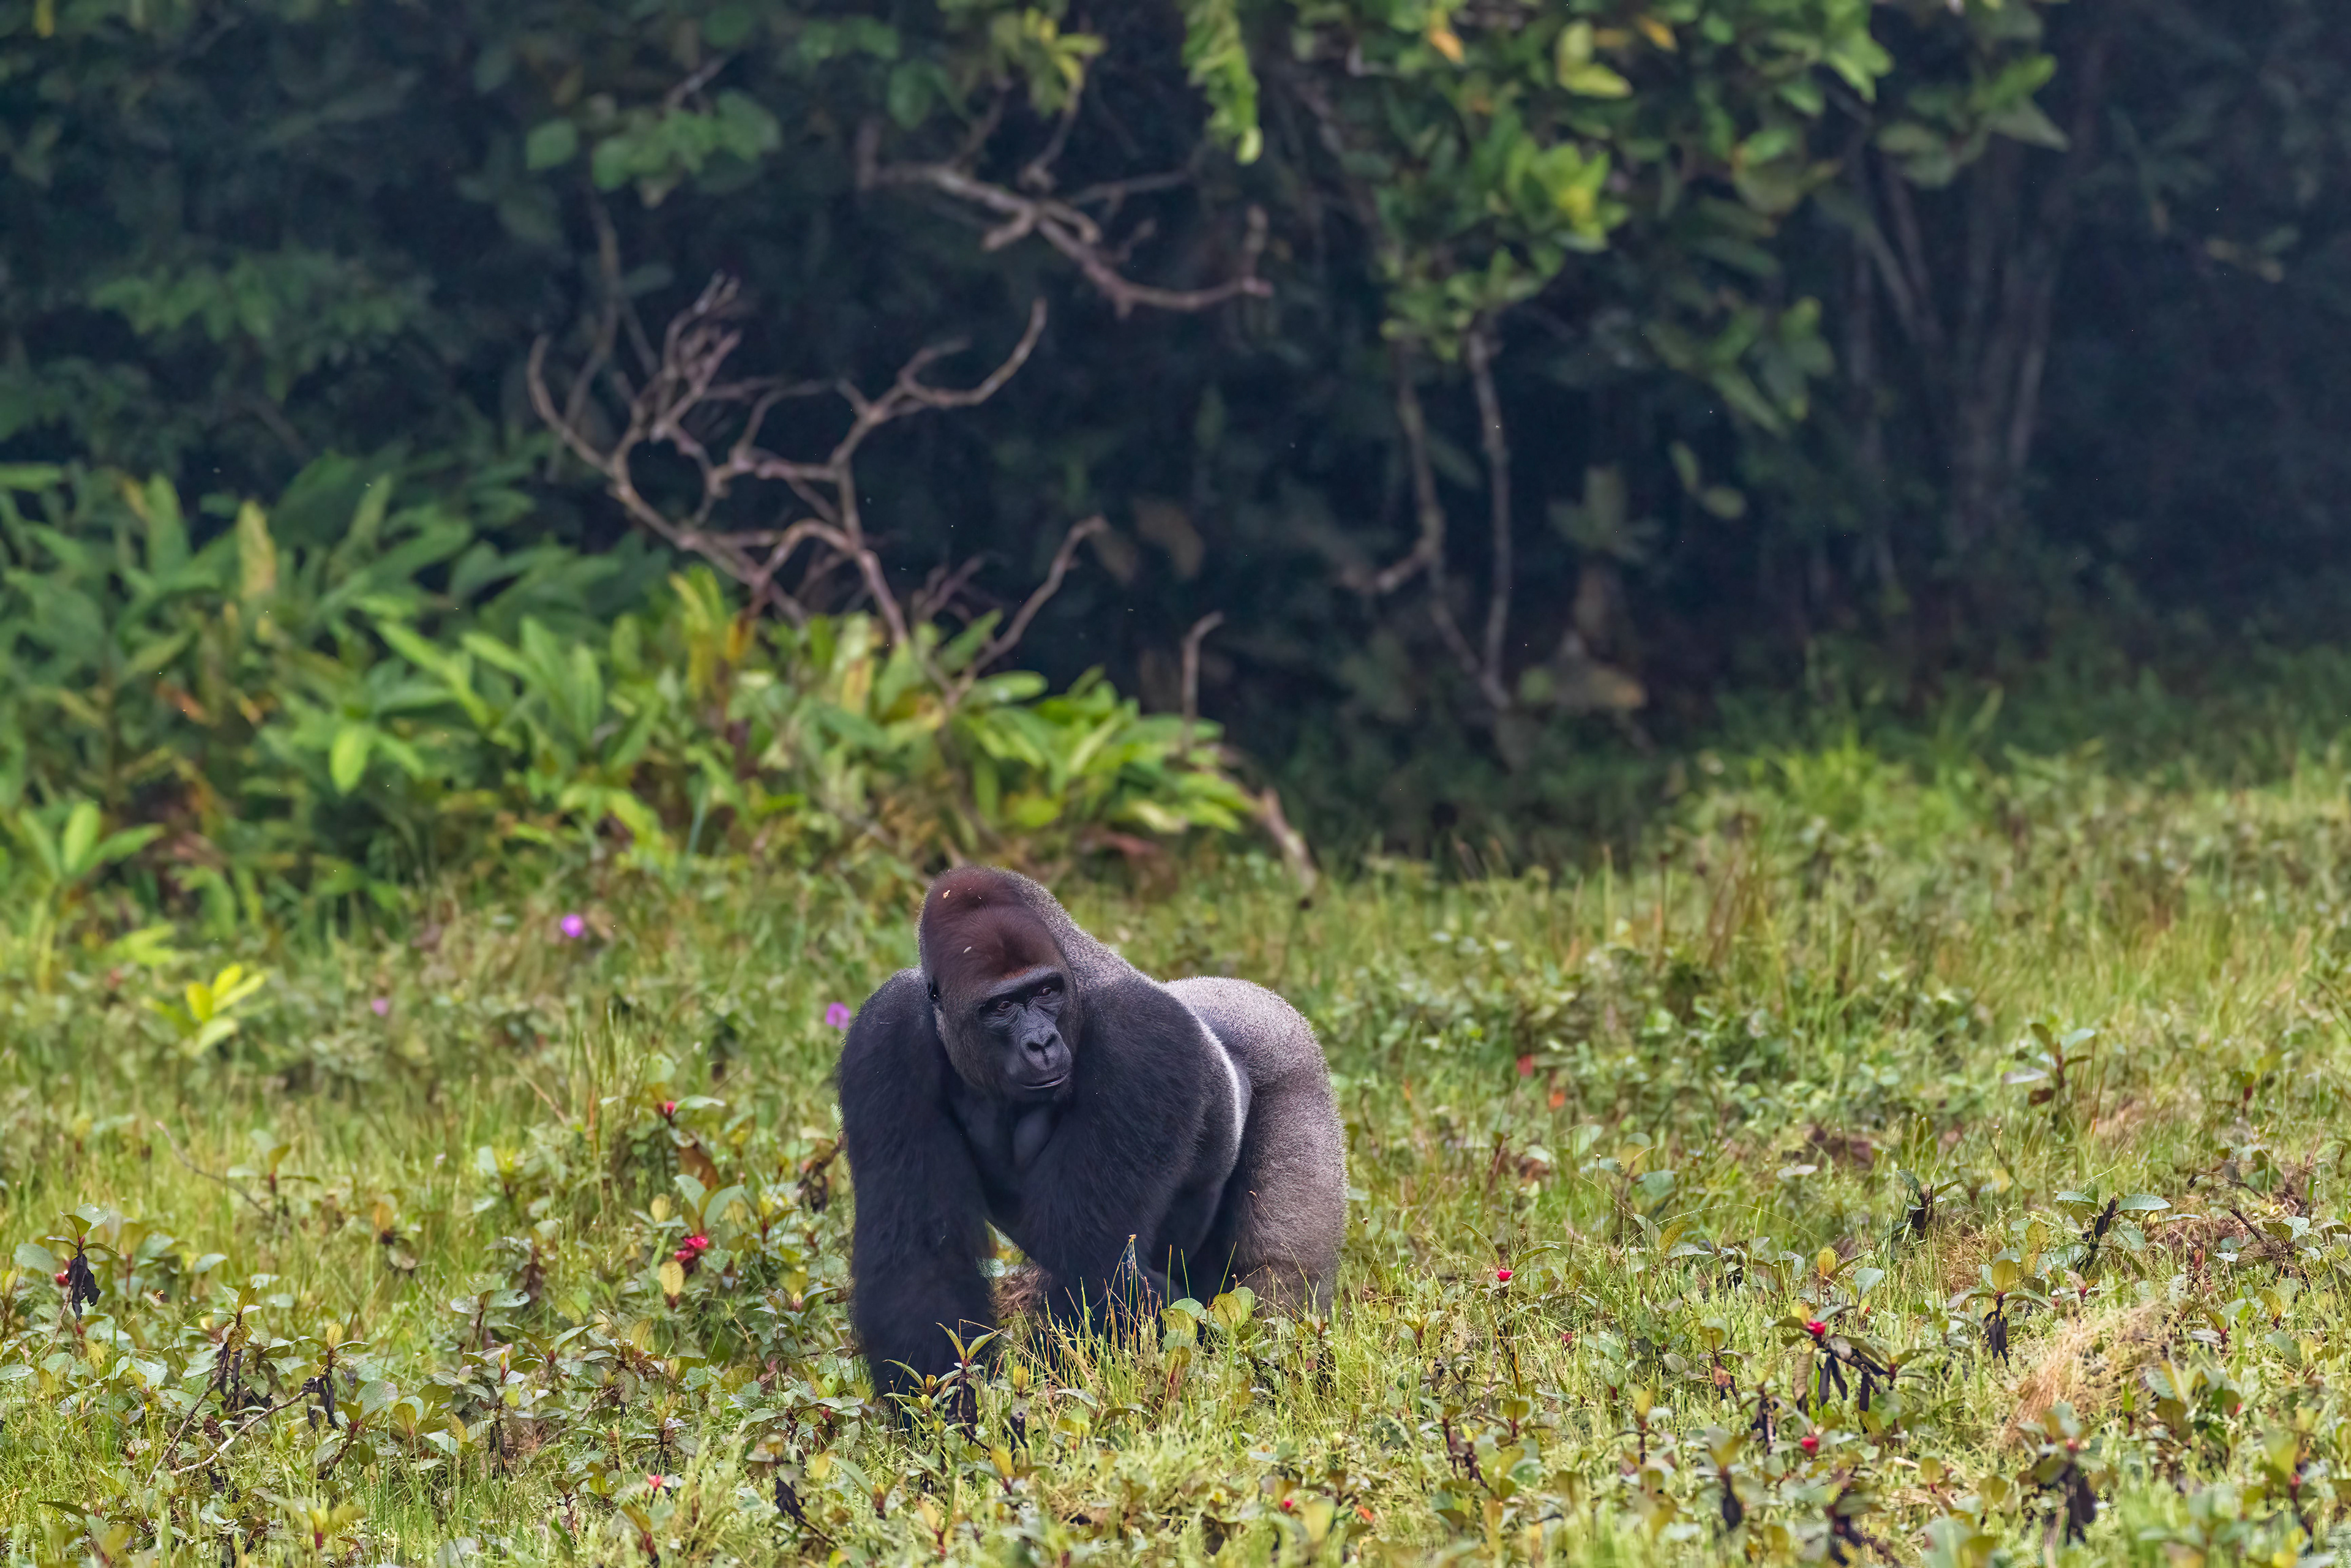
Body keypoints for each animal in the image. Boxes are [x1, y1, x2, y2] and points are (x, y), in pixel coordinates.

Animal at [836, 865, 1346, 1411]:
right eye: (1001, 1005)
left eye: (1046, 992)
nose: (1041, 1043)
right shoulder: (885, 1035)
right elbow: (920, 1256)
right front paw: (946, 1413)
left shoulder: (1141, 1032)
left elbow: (1092, 1261)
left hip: (1289, 1055)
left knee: (1276, 1284)